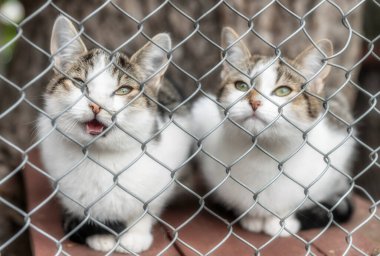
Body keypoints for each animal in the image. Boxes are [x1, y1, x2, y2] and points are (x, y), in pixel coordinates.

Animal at [37, 16, 193, 254]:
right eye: (79, 83)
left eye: (123, 90)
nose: (96, 105)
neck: (101, 156)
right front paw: (100, 235)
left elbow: (146, 208)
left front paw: (136, 235)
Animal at [193, 27, 356, 237]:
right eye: (241, 86)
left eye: (283, 91)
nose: (255, 102)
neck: (263, 155)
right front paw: (253, 218)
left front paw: (281, 222)